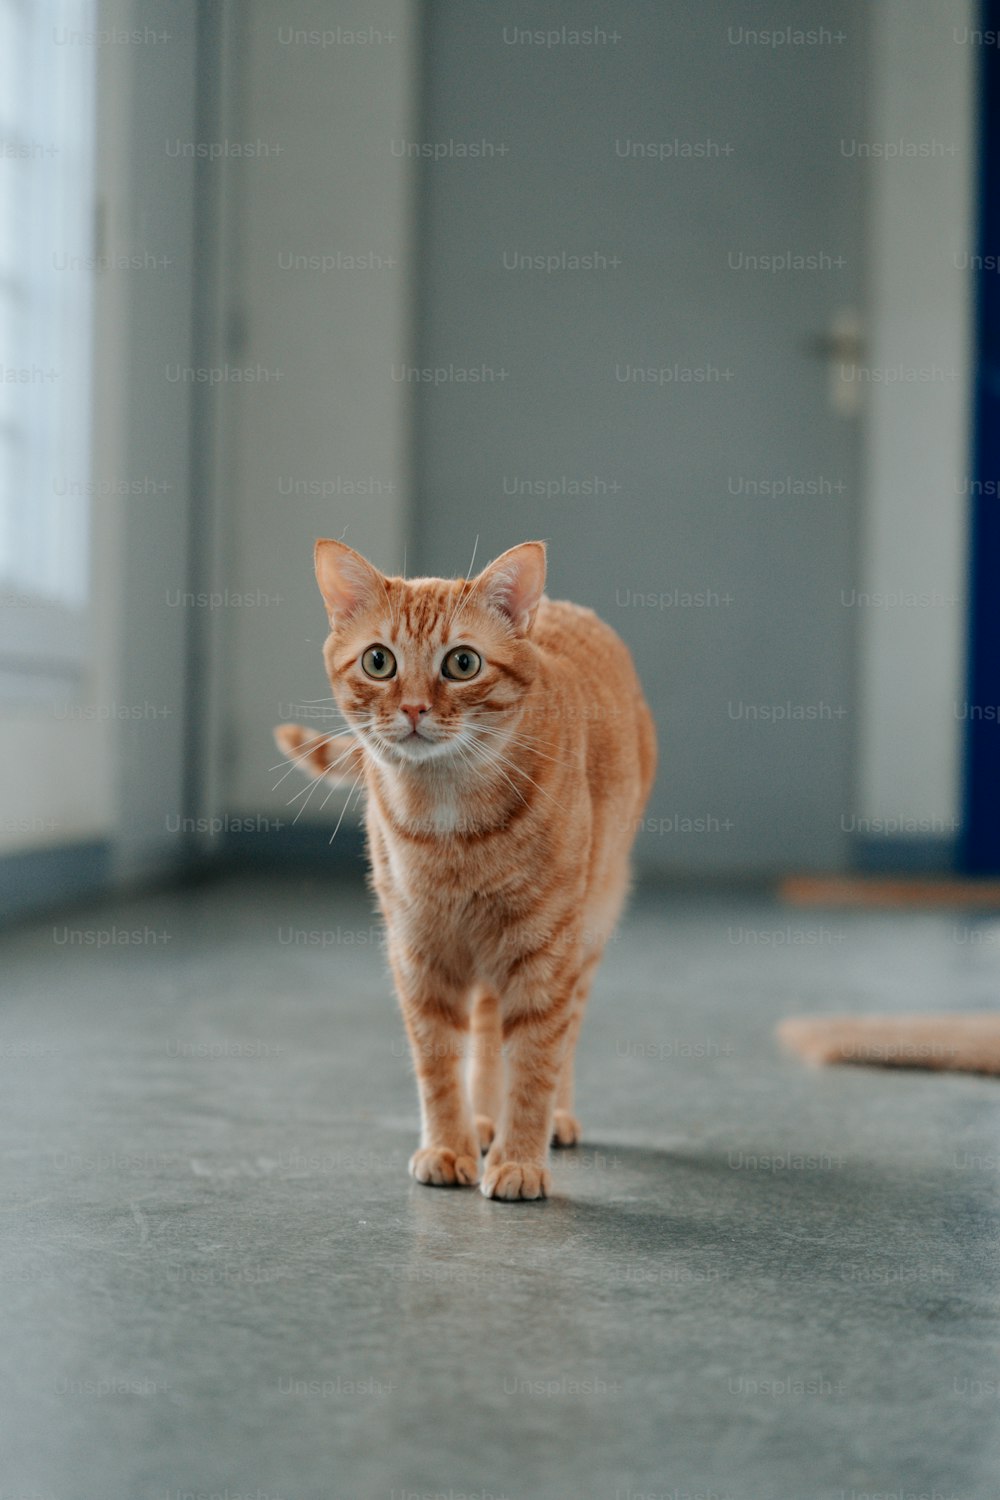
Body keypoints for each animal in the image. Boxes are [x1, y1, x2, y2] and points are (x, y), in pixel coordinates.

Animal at [277, 546, 659, 1200]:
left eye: (462, 663)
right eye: (379, 661)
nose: (413, 708)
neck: (451, 823)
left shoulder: (544, 951)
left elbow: (535, 1060)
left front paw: (521, 1157)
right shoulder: (421, 952)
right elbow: (438, 1063)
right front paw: (450, 1145)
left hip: (588, 930)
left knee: (565, 1034)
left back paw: (551, 1121)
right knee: (483, 1032)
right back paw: (483, 1121)